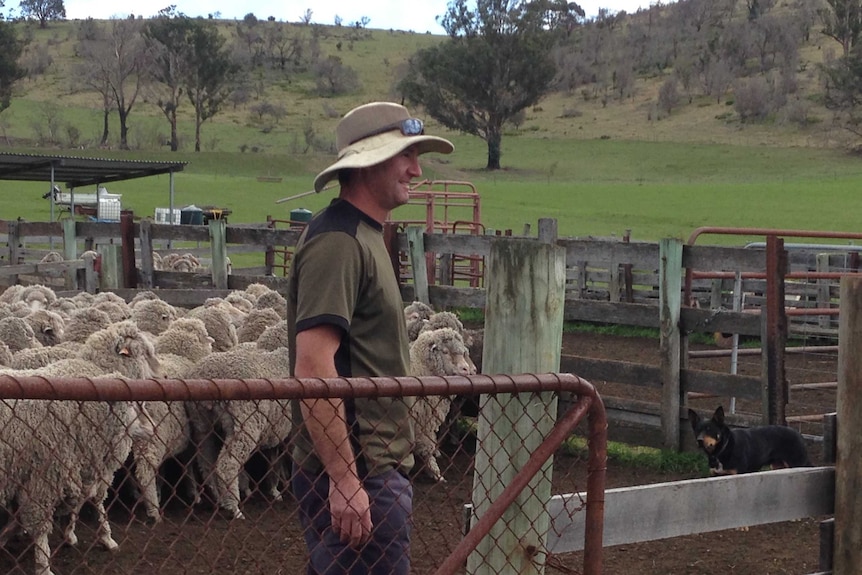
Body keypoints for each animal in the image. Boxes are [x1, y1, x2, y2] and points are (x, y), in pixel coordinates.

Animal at [186, 346, 294, 520]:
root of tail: (209, 374)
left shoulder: (277, 431)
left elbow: (274, 461)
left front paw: (274, 490)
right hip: (244, 424)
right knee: (227, 465)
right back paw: (234, 508)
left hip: (202, 426)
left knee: (207, 465)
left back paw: (220, 500)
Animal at [410, 326, 476, 484]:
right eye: (445, 351)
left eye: (463, 352)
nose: (466, 369)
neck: (421, 367)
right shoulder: (423, 421)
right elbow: (427, 447)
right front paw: (435, 473)